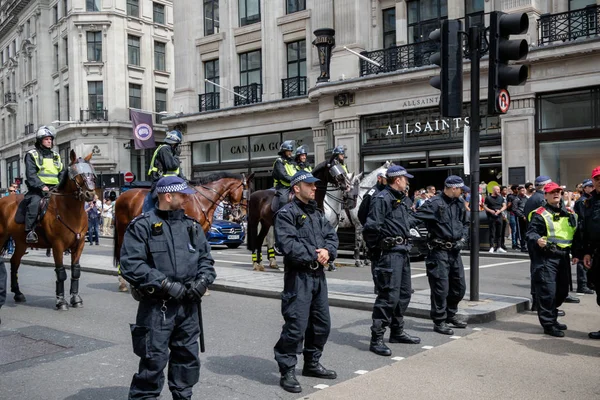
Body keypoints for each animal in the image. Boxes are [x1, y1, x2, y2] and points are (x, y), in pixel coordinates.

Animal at [0, 150, 96, 310]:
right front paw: (61, 301)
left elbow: (76, 271)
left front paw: (75, 299)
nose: (91, 195)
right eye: (77, 175)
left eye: (92, 174)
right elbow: (61, 272)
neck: (69, 211)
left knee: (15, 262)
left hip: (21, 242)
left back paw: (18, 293)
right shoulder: (57, 245)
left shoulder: (79, 244)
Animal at [113, 173, 252, 282]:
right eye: (245, 193)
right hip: (122, 228)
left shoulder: (203, 231)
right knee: (121, 250)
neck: (201, 200)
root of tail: (121, 196)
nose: (243, 215)